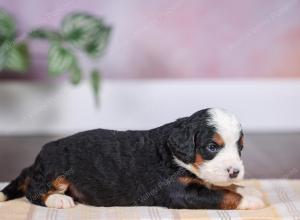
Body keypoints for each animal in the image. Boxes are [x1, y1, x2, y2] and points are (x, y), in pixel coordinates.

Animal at [0, 108, 264, 210]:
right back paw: (59, 200)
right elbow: (220, 194)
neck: (174, 154)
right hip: (56, 169)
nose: (235, 171)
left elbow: (220, 186)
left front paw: (245, 187)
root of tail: (36, 160)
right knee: (34, 191)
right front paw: (249, 199)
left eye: (240, 147)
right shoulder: (180, 191)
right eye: (212, 146)